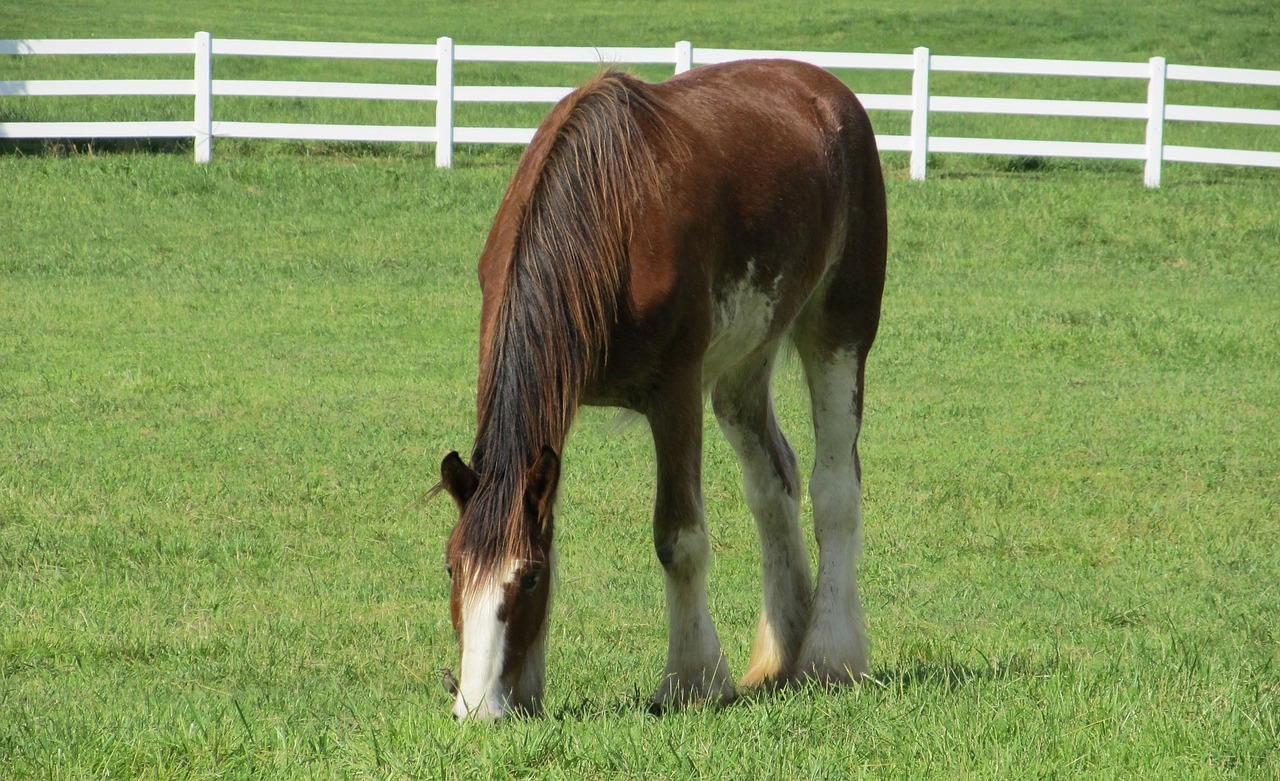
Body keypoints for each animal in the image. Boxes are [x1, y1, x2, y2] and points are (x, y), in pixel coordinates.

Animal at [435, 59, 885, 716]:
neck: (610, 216)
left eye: (528, 578)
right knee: (773, 485)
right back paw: (782, 652)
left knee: (834, 490)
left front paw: (692, 679)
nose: (477, 709)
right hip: (745, 364)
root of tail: (827, 91)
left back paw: (829, 657)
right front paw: (529, 691)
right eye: (452, 569)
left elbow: (679, 539)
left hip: (840, 330)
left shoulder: (675, 394)